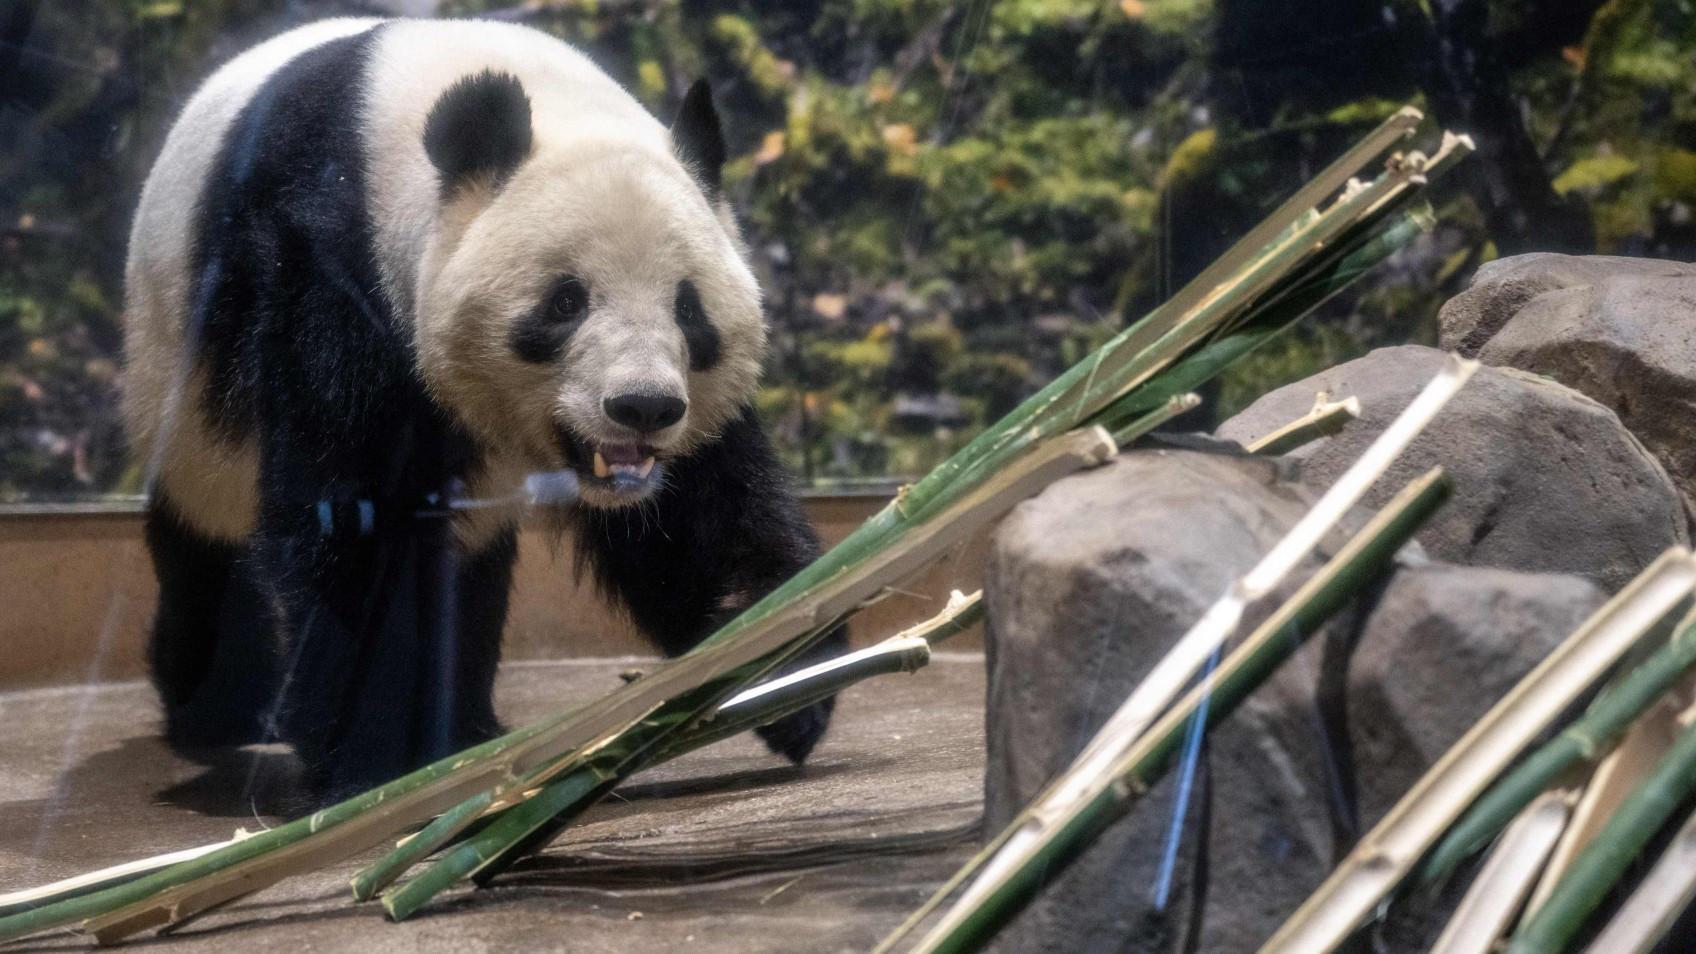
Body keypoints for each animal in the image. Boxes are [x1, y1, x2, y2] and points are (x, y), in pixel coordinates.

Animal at [122, 17, 845, 799]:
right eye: (565, 302)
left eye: (688, 308)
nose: (642, 408)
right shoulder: (326, 263)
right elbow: (353, 517)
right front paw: (372, 763)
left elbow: (703, 512)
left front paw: (784, 671)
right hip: (178, 366)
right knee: (207, 528)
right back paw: (218, 707)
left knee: (470, 561)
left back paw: (465, 721)